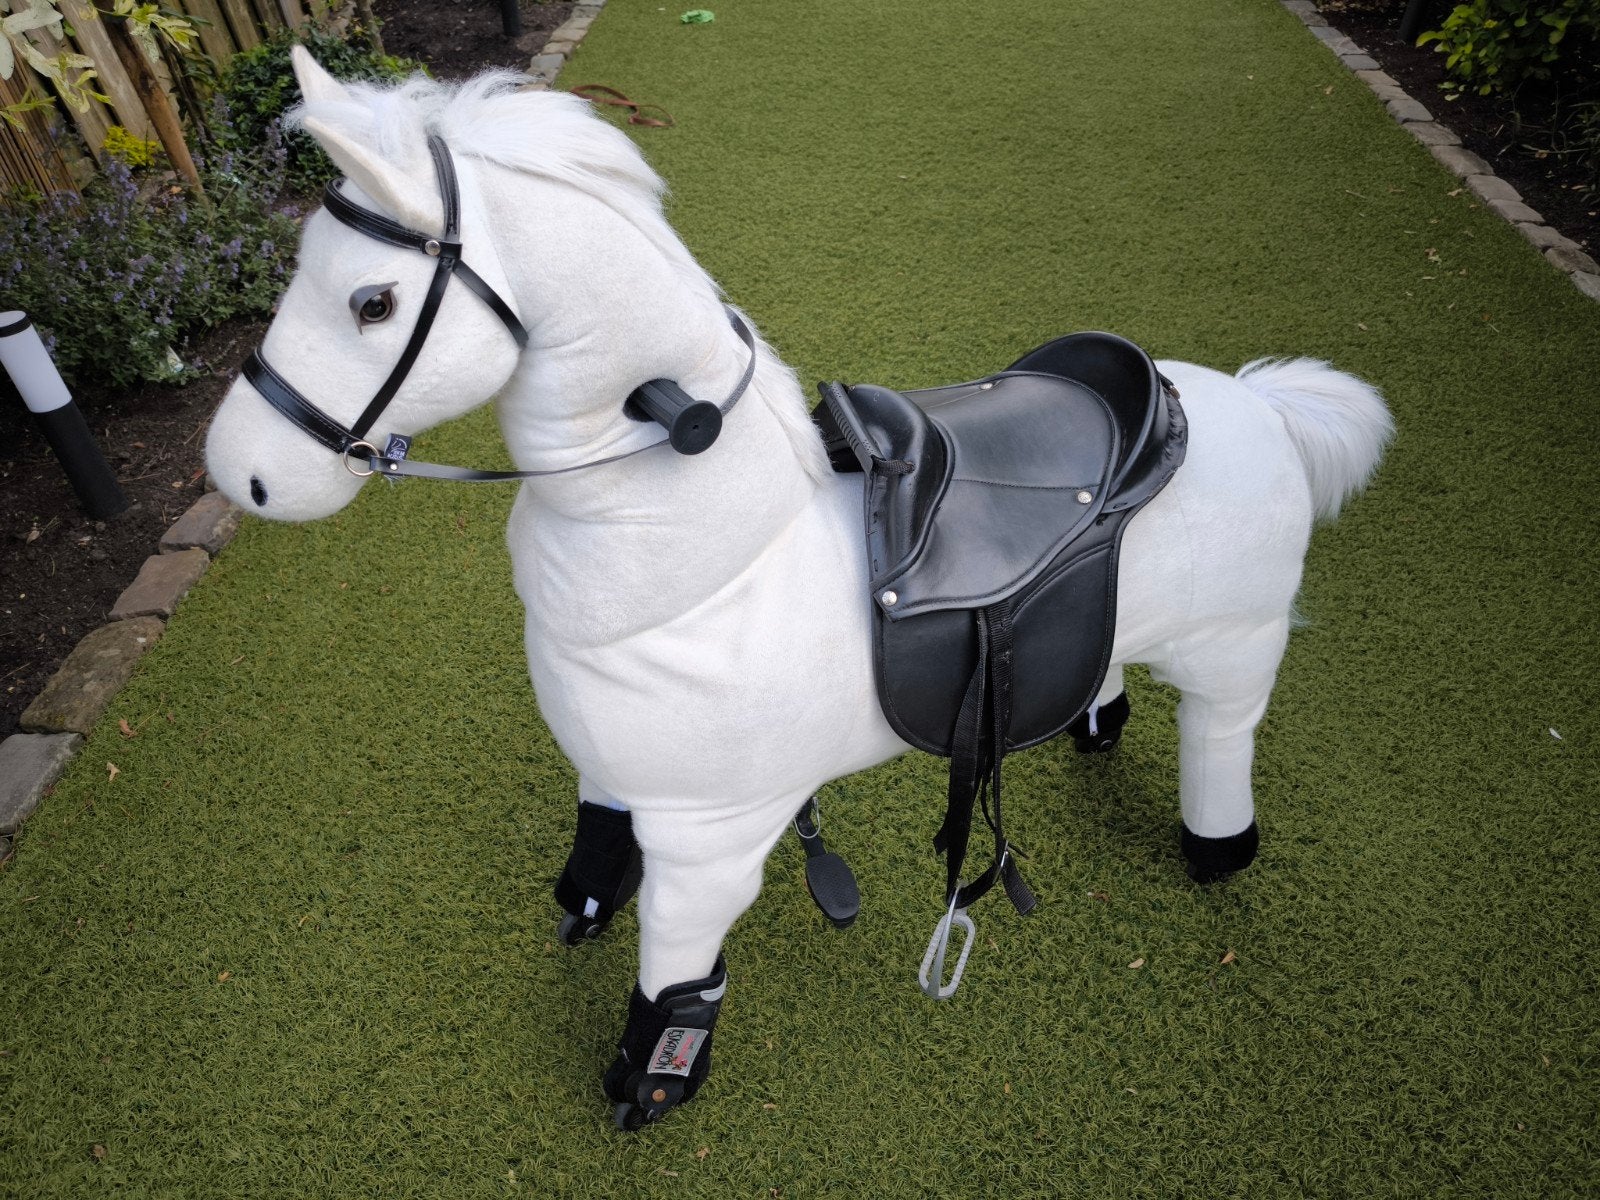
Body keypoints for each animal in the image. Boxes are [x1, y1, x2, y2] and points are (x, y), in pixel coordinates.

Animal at [205, 49, 1393, 1130]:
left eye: (372, 300)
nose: (235, 472)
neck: (714, 558)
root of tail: (1256, 401)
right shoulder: (618, 772)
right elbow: (598, 853)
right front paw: (586, 907)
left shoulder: (714, 838)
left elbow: (676, 977)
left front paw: (654, 1082)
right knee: (1100, 665)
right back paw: (1093, 720)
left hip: (1235, 645)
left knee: (1221, 735)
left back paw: (1216, 847)